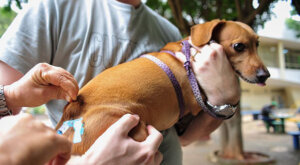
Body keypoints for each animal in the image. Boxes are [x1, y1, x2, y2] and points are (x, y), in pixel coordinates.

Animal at [55, 19, 270, 155]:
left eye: (258, 44)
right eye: (239, 46)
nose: (265, 75)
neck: (189, 54)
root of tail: (72, 110)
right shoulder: (197, 103)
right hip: (133, 126)